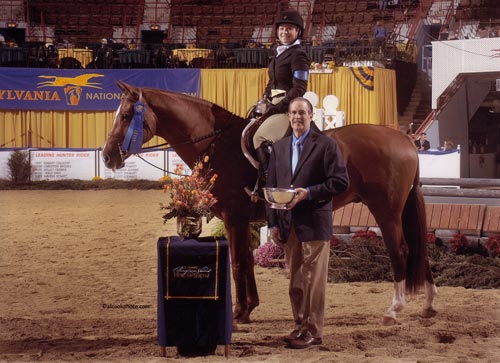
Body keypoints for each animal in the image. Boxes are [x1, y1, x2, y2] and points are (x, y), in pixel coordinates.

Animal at [102, 81, 438, 326]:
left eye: (126, 116)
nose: (106, 156)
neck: (216, 143)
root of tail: (405, 140)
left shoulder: (234, 217)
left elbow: (238, 262)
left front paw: (240, 313)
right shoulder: (242, 221)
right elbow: (247, 261)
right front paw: (250, 308)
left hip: (386, 211)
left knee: (401, 251)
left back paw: (395, 309)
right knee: (418, 250)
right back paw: (429, 305)